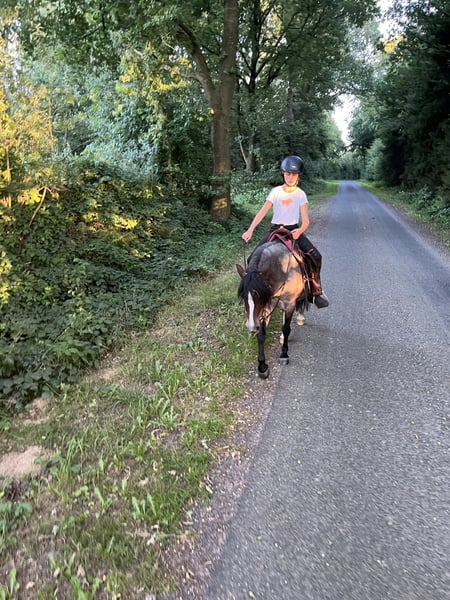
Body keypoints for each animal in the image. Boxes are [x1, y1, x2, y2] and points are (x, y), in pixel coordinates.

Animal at [237, 230, 309, 378]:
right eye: (243, 296)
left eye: (259, 296)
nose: (251, 327)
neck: (281, 268)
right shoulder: (265, 308)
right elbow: (261, 334)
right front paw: (262, 366)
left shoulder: (289, 304)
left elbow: (286, 328)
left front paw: (284, 355)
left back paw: (300, 318)